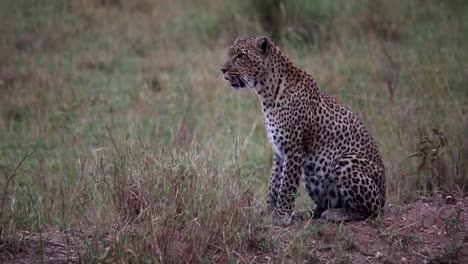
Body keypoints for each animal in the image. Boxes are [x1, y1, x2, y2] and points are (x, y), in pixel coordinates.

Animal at [221, 36, 386, 227]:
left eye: (240, 56)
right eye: (229, 54)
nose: (222, 69)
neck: (266, 93)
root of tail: (385, 195)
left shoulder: (294, 150)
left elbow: (286, 186)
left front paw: (281, 216)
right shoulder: (278, 152)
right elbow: (273, 184)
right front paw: (269, 211)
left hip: (346, 163)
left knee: (370, 210)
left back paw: (337, 214)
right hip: (312, 172)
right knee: (322, 205)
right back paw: (306, 213)